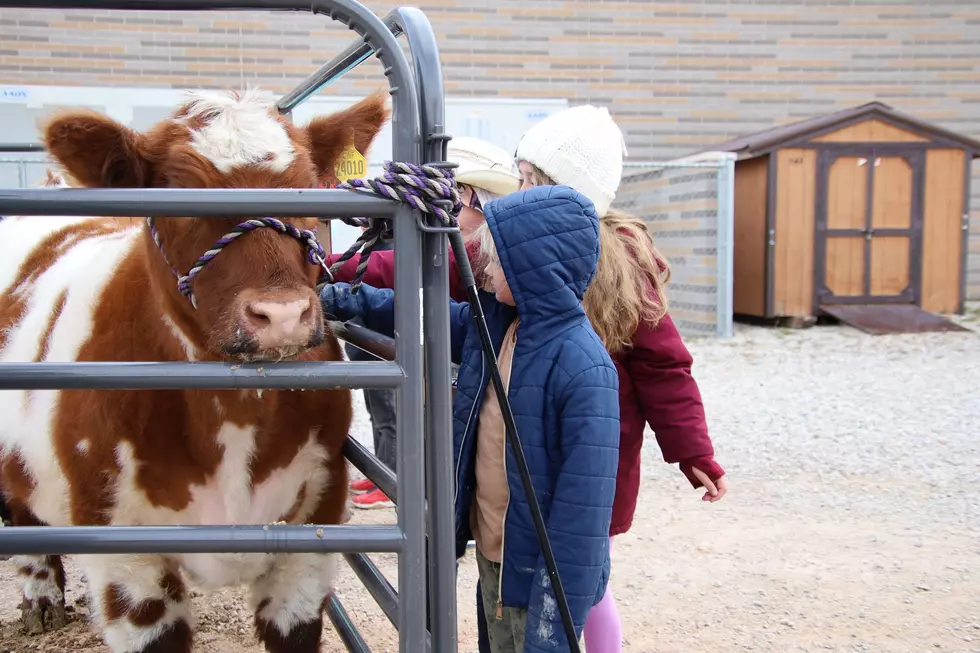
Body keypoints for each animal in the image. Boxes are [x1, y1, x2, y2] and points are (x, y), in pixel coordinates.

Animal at [0, 88, 390, 652]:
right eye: (179, 198)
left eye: (310, 190)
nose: (282, 316)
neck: (232, 414)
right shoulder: (125, 559)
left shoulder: (314, 527)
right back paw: (41, 596)